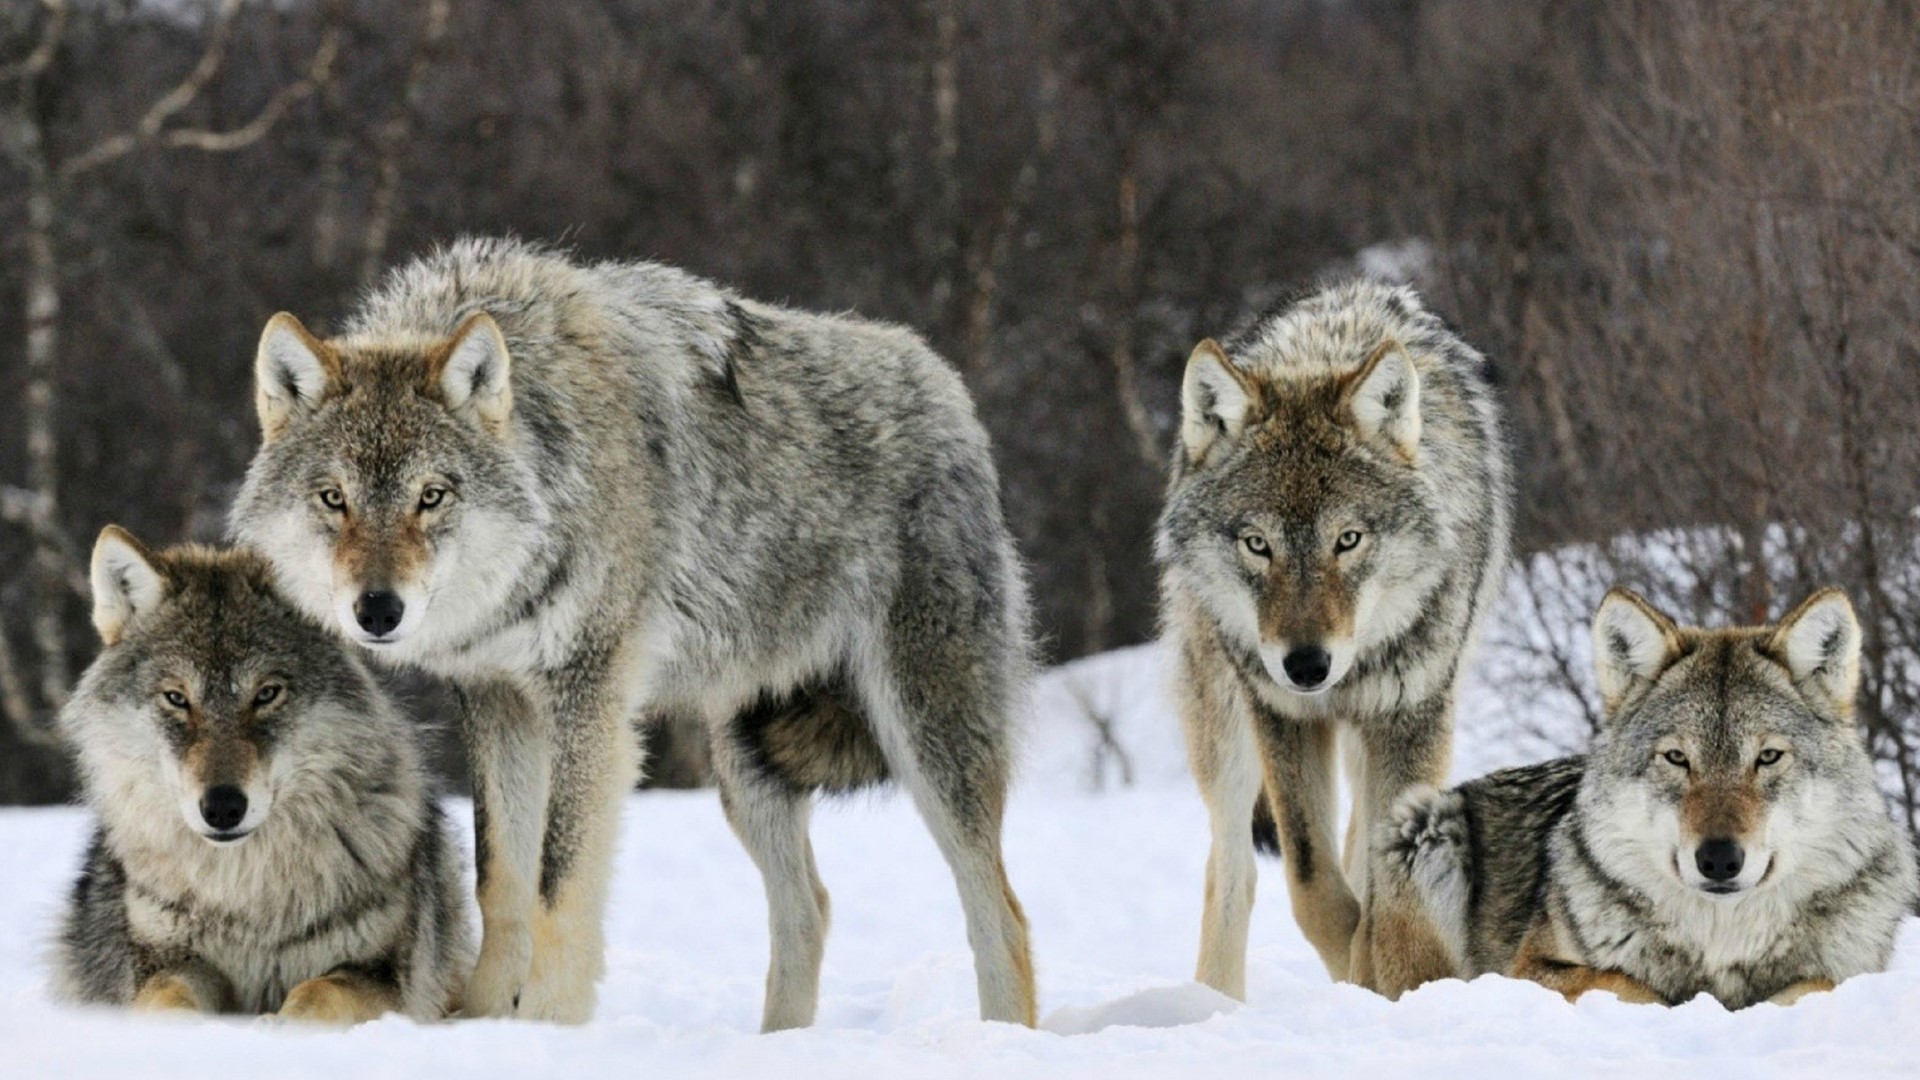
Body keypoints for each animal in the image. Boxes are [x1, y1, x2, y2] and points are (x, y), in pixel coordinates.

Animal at [51, 528, 472, 1023]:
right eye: (176, 698)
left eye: (267, 693)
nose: (222, 807)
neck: (247, 895)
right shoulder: (168, 962)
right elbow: (168, 999)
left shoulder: (381, 976)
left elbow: (318, 993)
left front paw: (279, 1027)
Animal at [230, 237, 1036, 1028]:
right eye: (333, 498)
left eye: (431, 496)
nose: (378, 611)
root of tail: (947, 386)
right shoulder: (497, 700)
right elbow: (501, 880)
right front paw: (484, 1022)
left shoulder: (589, 697)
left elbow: (558, 884)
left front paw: (546, 1027)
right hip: (746, 767)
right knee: (810, 908)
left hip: (926, 739)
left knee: (1001, 913)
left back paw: (1002, 1034)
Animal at [1156, 280, 1512, 999]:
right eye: (1257, 544)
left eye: (1347, 540)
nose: (1306, 665)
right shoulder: (1283, 716)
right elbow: (1313, 884)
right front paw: (1355, 968)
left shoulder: (1412, 715)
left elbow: (1383, 887)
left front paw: (1384, 980)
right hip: (1224, 727)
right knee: (1231, 869)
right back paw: (1213, 1003)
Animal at [1382, 587, 1918, 1008]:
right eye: (1677, 758)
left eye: (1767, 757)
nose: (1718, 859)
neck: (1721, 943)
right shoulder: (1530, 969)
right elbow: (1629, 984)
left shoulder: (1849, 973)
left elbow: (1816, 984)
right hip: (1425, 824)